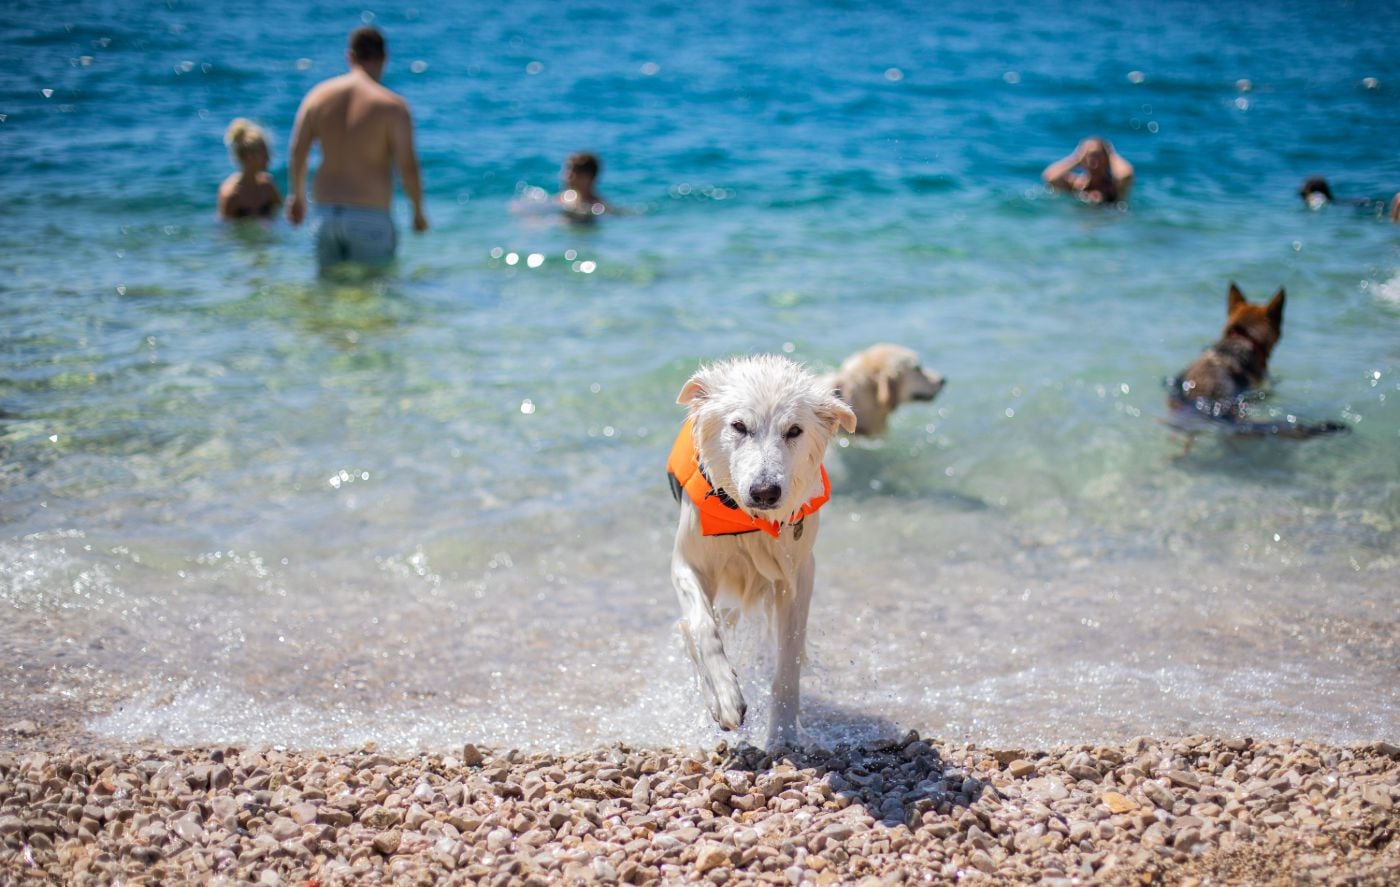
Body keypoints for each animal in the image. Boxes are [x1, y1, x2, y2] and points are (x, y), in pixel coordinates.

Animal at [663, 352, 856, 738]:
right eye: (739, 426)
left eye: (794, 430)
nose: (765, 492)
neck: (749, 520)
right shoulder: (688, 563)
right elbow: (703, 627)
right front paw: (725, 696)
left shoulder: (797, 576)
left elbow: (789, 659)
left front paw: (782, 733)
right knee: (693, 629)